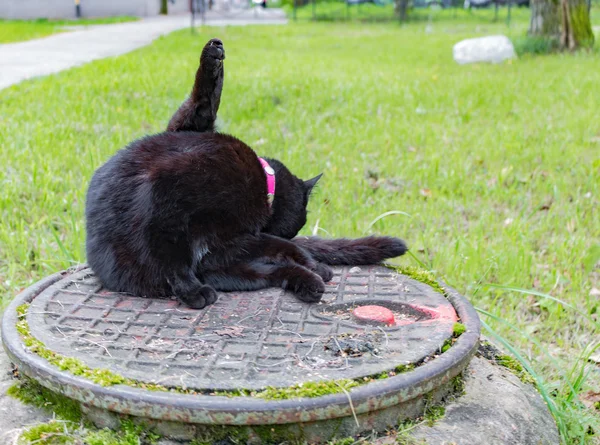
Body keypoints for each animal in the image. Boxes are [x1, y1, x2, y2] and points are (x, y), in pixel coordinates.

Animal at [85, 38, 408, 308]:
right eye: (300, 223)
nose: (295, 231)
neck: (264, 183)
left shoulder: (229, 239)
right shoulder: (167, 187)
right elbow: (170, 255)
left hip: (228, 265)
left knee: (270, 271)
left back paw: (309, 282)